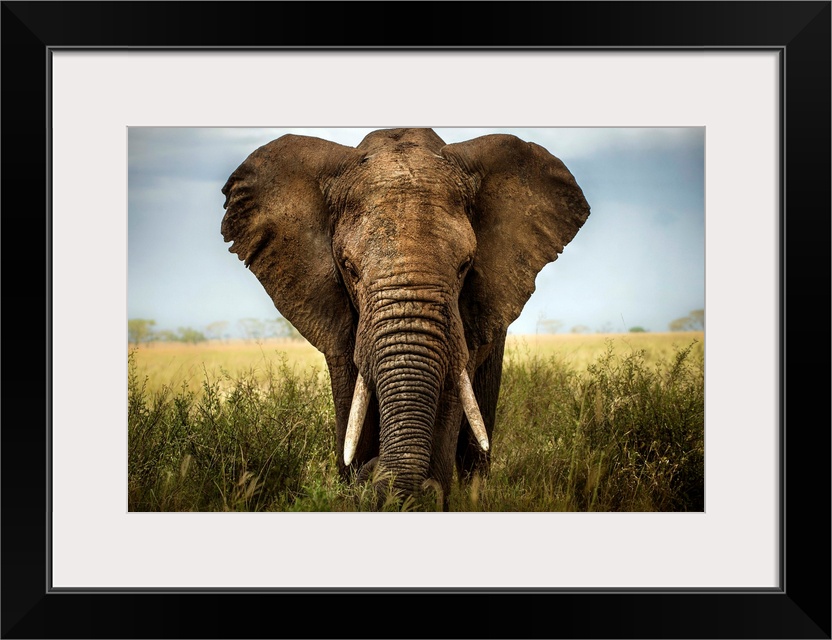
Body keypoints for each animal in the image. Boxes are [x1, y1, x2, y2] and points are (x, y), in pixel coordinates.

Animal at [218, 129, 588, 510]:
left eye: (465, 266)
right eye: (349, 268)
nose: (374, 472)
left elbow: (451, 397)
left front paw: (427, 494)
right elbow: (352, 401)